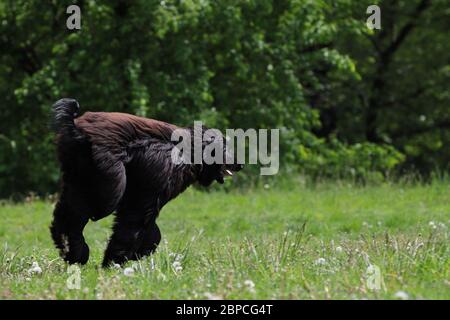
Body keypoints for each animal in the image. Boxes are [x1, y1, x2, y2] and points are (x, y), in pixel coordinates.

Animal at [49, 98, 243, 268]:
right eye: (224, 147)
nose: (240, 164)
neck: (190, 152)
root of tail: (78, 129)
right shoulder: (152, 182)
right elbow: (134, 224)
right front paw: (114, 261)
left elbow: (151, 232)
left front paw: (133, 254)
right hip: (108, 181)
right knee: (85, 211)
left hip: (79, 176)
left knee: (71, 213)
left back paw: (72, 250)